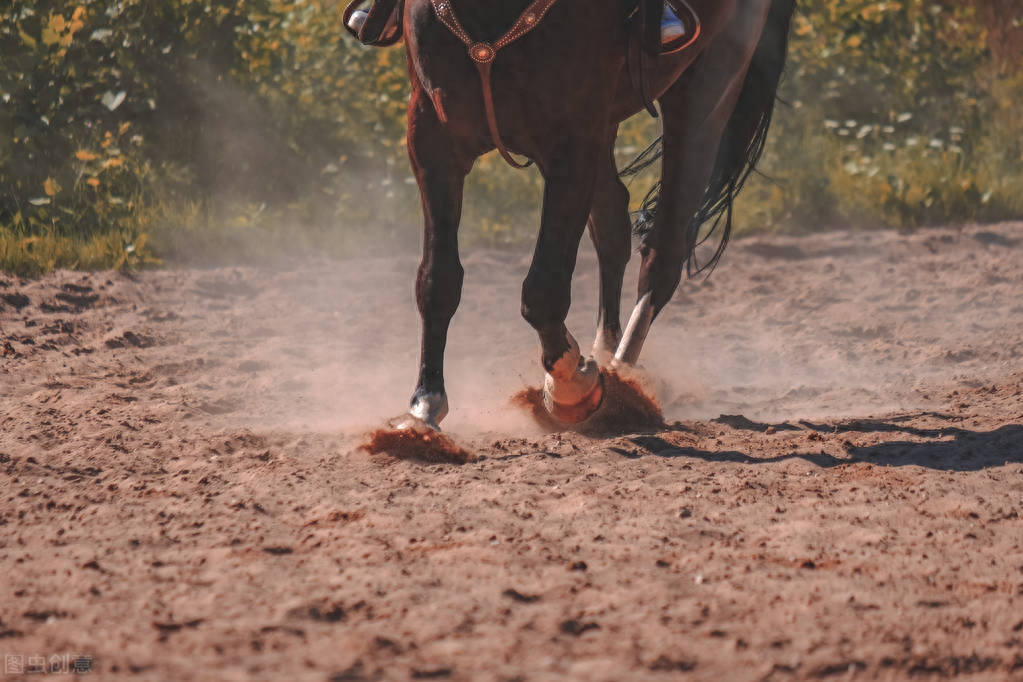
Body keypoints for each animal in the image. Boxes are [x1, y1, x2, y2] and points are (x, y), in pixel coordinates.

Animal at [347, 0, 793, 429]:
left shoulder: (572, 142)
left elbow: (543, 289)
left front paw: (571, 386)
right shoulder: (431, 136)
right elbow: (437, 278)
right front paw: (424, 405)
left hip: (708, 85)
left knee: (663, 251)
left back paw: (622, 378)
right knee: (613, 224)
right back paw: (607, 352)